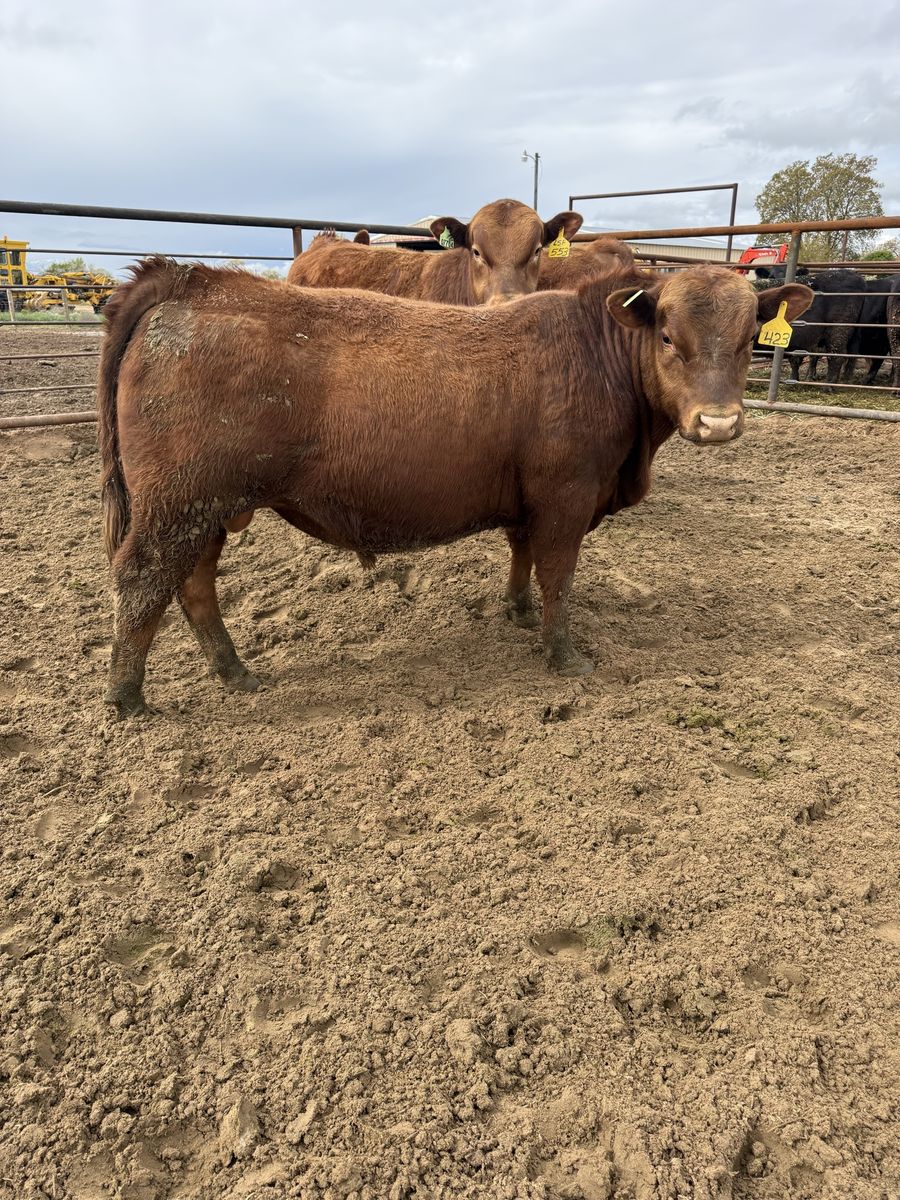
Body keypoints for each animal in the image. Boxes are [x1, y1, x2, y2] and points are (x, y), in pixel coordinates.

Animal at [97, 257, 811, 717]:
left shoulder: (530, 502)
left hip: (208, 510)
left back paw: (235, 671)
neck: (593, 354)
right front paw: (564, 655)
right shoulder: (567, 497)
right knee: (141, 581)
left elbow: (522, 557)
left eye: (751, 339)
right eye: (666, 335)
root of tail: (192, 281)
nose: (717, 423)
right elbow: (558, 576)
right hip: (177, 505)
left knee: (193, 587)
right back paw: (128, 699)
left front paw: (517, 612)